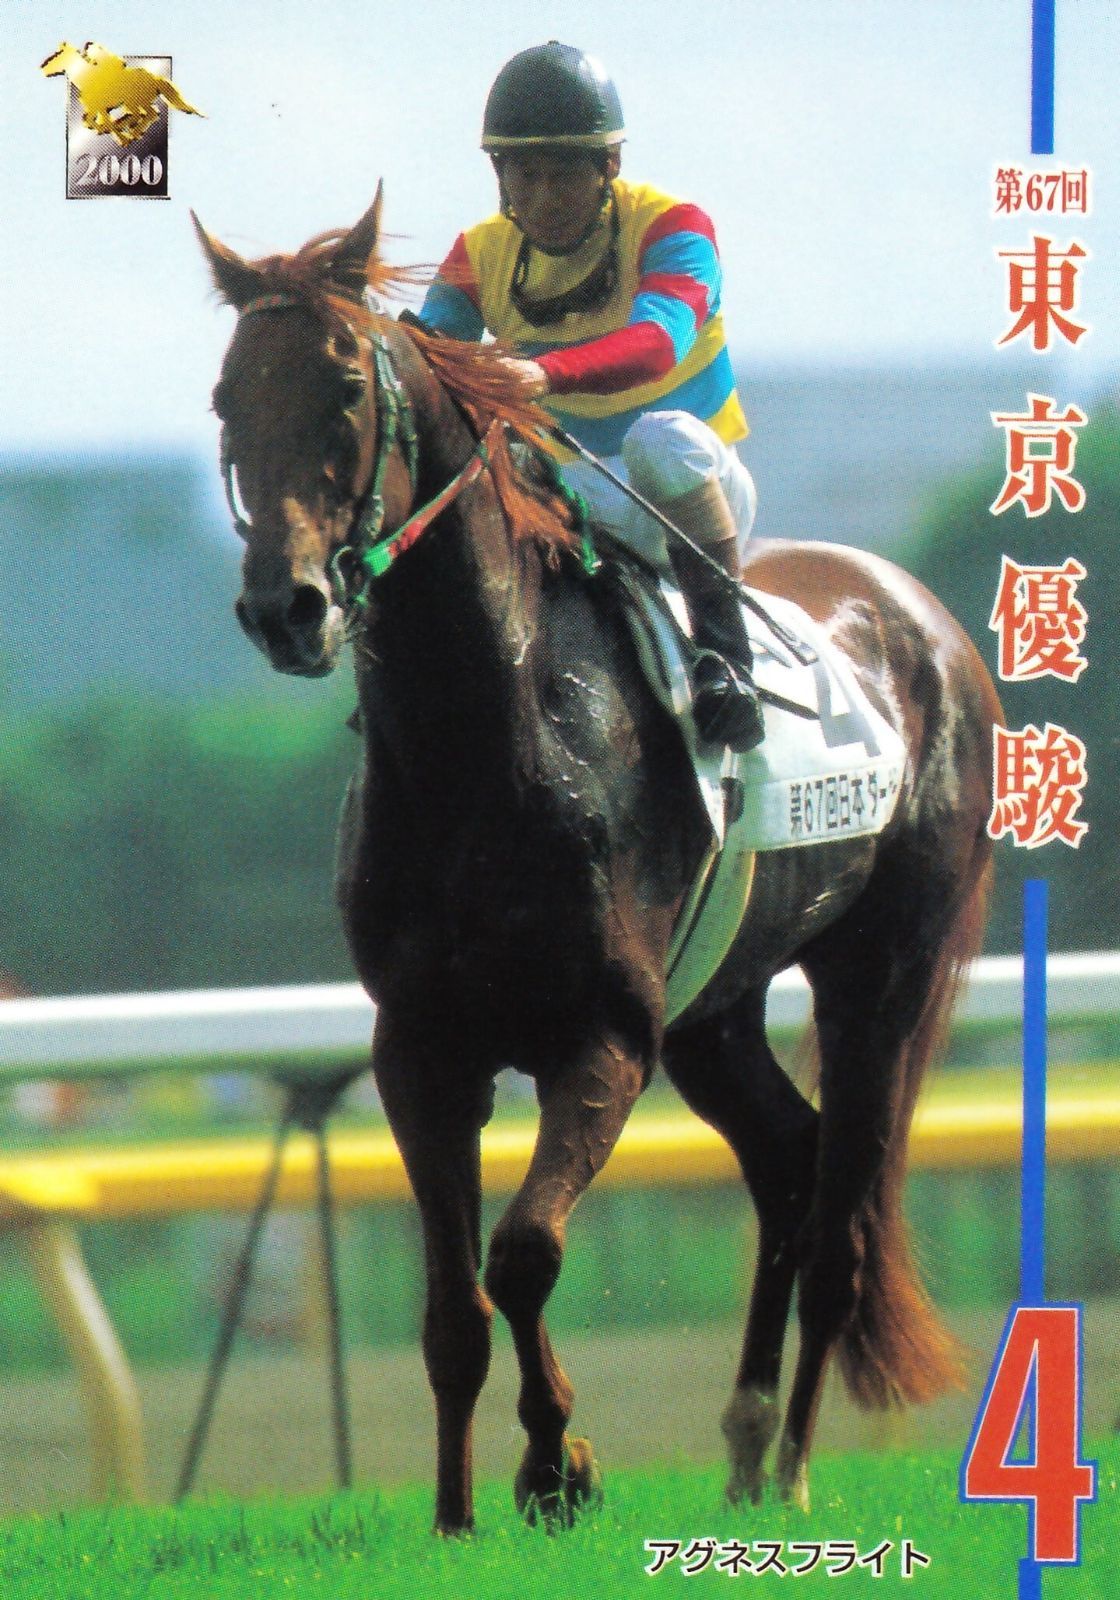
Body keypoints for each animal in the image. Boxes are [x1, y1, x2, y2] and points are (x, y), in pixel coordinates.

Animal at [195, 189, 1000, 1535]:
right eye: (224, 398)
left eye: (344, 385)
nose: (284, 608)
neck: (488, 738)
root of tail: (919, 613)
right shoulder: (422, 1046)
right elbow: (453, 1308)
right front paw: (458, 1512)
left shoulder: (604, 1031)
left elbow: (523, 1252)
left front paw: (557, 1466)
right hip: (715, 1007)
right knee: (787, 1166)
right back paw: (742, 1443)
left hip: (883, 968)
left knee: (841, 1220)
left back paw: (789, 1464)